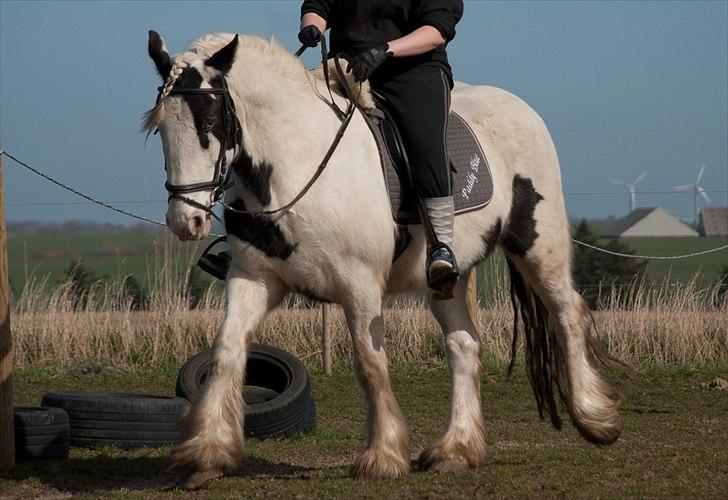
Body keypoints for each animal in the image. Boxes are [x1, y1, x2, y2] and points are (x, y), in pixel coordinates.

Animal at [144, 30, 620, 488]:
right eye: (161, 128)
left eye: (210, 122)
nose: (185, 221)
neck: (295, 164)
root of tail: (520, 108)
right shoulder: (253, 278)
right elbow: (226, 350)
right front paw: (208, 454)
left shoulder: (359, 284)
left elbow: (369, 364)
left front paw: (383, 457)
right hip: (445, 279)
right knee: (464, 346)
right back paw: (458, 449)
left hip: (537, 245)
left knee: (567, 312)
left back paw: (594, 418)